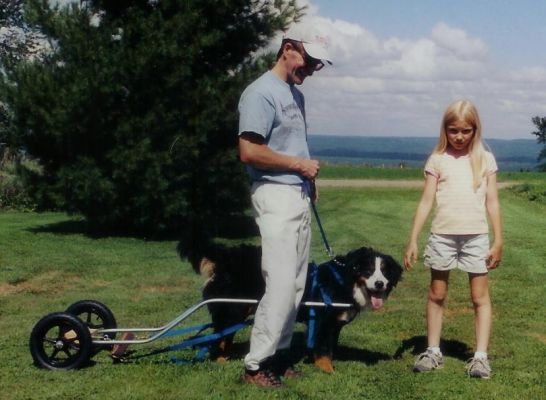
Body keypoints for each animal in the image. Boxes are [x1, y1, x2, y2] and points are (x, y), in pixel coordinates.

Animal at [185, 244, 402, 376]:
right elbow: (323, 349)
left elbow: (330, 348)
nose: (380, 283)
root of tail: (226, 259)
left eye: (385, 272)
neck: (344, 282)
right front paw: (327, 370)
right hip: (233, 310)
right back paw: (221, 360)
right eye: (368, 271)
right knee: (219, 337)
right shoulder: (323, 323)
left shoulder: (334, 326)